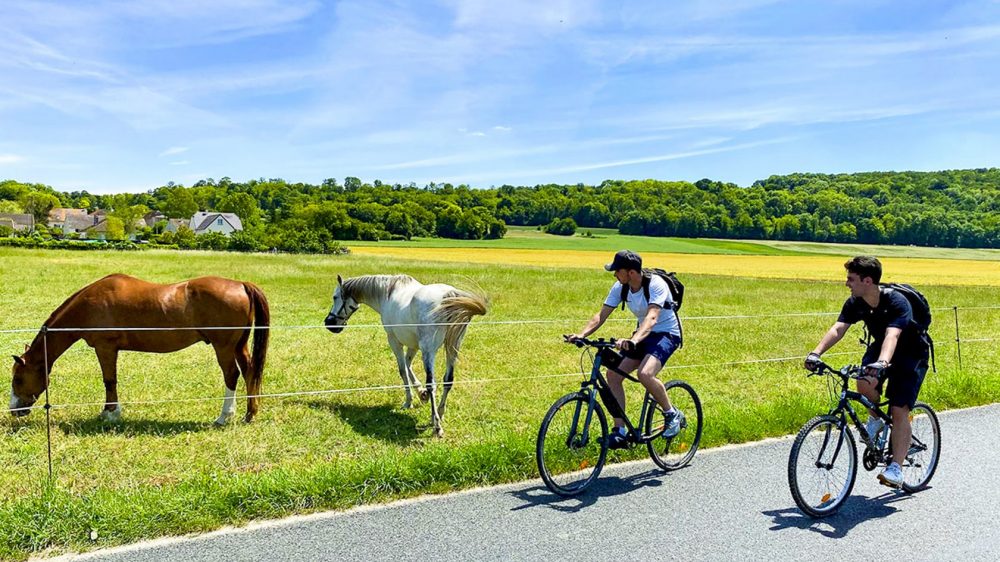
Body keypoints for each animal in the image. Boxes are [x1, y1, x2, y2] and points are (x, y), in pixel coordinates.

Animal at [10, 274, 270, 422]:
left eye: (18, 379)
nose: (13, 410)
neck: (89, 304)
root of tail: (241, 285)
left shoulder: (105, 348)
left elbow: (109, 381)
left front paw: (110, 414)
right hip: (239, 345)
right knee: (249, 371)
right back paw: (249, 413)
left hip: (223, 347)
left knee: (231, 375)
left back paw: (224, 416)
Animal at [324, 274, 488, 436]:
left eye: (335, 297)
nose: (329, 323)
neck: (387, 294)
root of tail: (449, 295)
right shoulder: (413, 345)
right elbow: (408, 366)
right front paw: (421, 394)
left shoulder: (394, 341)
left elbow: (403, 370)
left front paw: (409, 401)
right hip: (452, 348)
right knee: (448, 380)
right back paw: (440, 413)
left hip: (429, 351)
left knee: (432, 384)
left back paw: (436, 425)